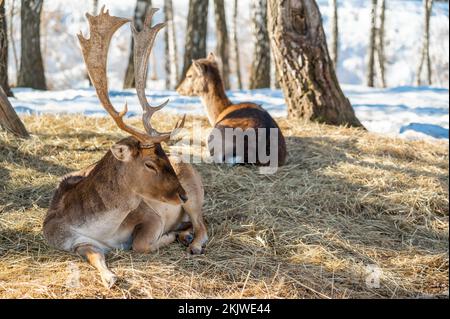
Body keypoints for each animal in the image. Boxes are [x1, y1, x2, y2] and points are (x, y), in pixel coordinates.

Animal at [42, 8, 207, 290]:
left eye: (163, 156)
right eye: (149, 163)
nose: (181, 195)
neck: (103, 230)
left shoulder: (150, 214)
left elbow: (140, 244)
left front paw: (167, 237)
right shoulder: (72, 240)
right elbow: (95, 255)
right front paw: (110, 278)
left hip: (196, 189)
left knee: (203, 224)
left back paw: (191, 242)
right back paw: (184, 234)